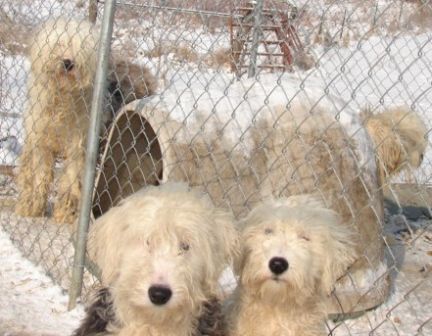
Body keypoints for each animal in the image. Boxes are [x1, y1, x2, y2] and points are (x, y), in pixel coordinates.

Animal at [15, 17, 98, 223]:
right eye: (59, 43)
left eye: (79, 47)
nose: (68, 62)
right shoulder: (40, 143)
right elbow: (40, 176)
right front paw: (33, 207)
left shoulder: (77, 146)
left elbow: (70, 180)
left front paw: (65, 212)